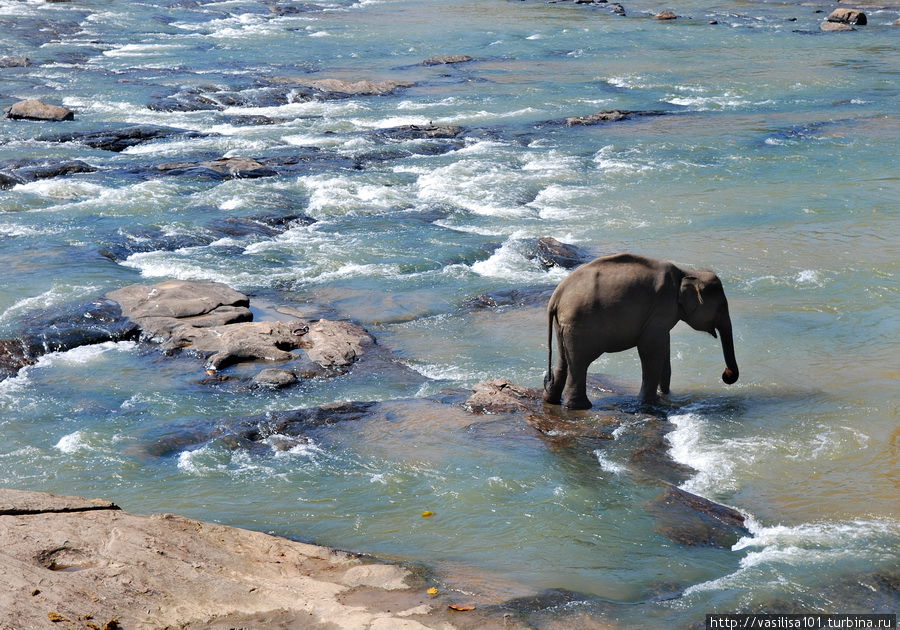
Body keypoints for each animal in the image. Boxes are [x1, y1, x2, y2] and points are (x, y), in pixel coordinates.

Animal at [540, 254, 740, 412]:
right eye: (721, 307)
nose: (726, 375)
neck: (687, 273)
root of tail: (557, 295)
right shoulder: (661, 307)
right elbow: (651, 349)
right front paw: (652, 404)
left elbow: (663, 347)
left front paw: (666, 395)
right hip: (580, 324)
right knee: (580, 363)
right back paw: (579, 407)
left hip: (563, 325)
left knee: (564, 360)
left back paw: (551, 399)